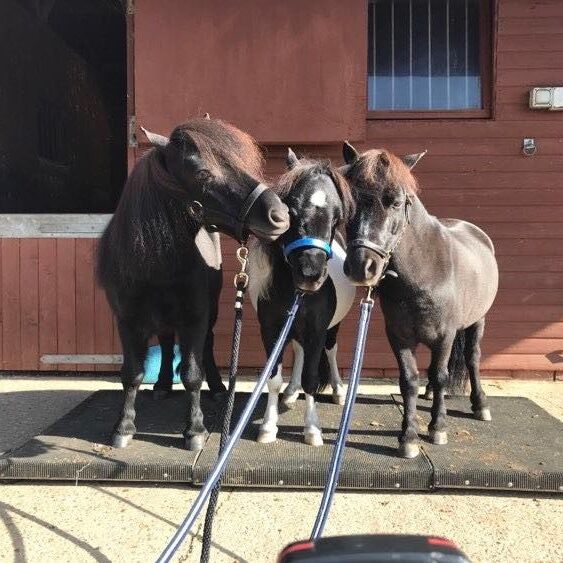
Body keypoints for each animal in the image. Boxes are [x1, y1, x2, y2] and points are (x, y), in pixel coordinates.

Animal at [97, 117, 288, 452]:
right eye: (202, 173)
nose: (280, 215)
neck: (155, 266)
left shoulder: (195, 319)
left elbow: (191, 373)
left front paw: (194, 430)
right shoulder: (127, 321)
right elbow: (132, 373)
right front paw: (124, 427)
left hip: (209, 313)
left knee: (206, 345)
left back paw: (218, 388)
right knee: (165, 341)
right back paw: (161, 385)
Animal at [248, 149, 354, 446]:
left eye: (337, 218)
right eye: (291, 212)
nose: (310, 274)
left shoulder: (317, 329)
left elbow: (311, 378)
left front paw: (312, 430)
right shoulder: (271, 328)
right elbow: (273, 378)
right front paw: (268, 427)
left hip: (331, 328)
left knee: (330, 351)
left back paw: (338, 391)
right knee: (299, 351)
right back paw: (291, 391)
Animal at [344, 143, 498, 460]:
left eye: (395, 202)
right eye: (350, 200)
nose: (361, 267)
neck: (425, 272)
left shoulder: (445, 335)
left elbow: (440, 375)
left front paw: (438, 427)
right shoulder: (398, 336)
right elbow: (409, 381)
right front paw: (408, 436)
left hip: (477, 321)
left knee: (472, 358)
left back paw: (480, 405)